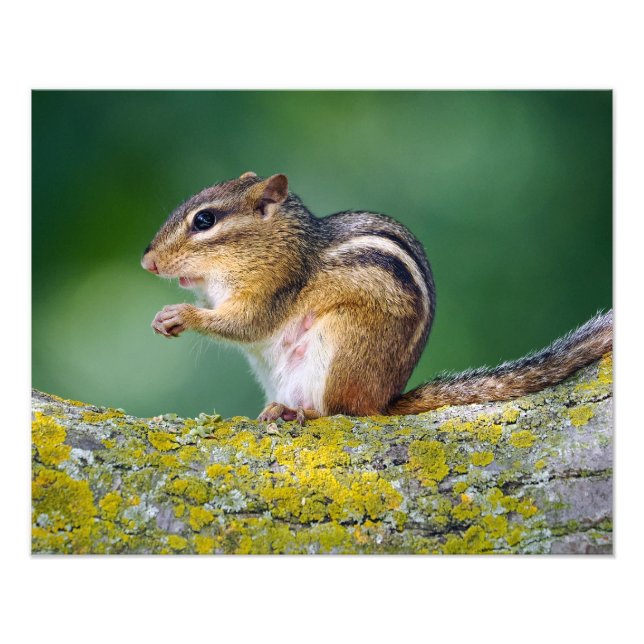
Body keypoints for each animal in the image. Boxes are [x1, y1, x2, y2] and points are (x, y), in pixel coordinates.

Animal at [142, 172, 613, 423]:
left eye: (204, 220)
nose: (147, 261)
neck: (278, 244)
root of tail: (384, 398)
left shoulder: (273, 287)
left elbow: (243, 324)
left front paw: (180, 315)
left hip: (344, 342)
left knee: (343, 412)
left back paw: (300, 413)